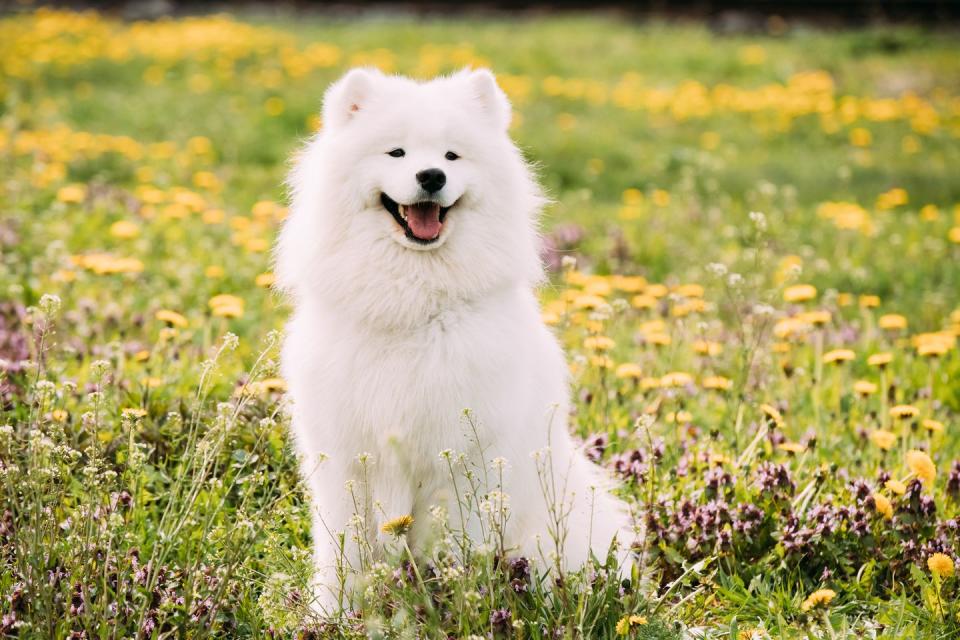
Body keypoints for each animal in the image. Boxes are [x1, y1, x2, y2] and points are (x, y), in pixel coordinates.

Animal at [276, 67, 636, 612]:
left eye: (451, 156)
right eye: (396, 152)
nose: (431, 177)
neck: (414, 304)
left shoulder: (460, 463)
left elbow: (450, 550)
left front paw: (454, 607)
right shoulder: (345, 461)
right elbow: (344, 554)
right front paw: (330, 614)